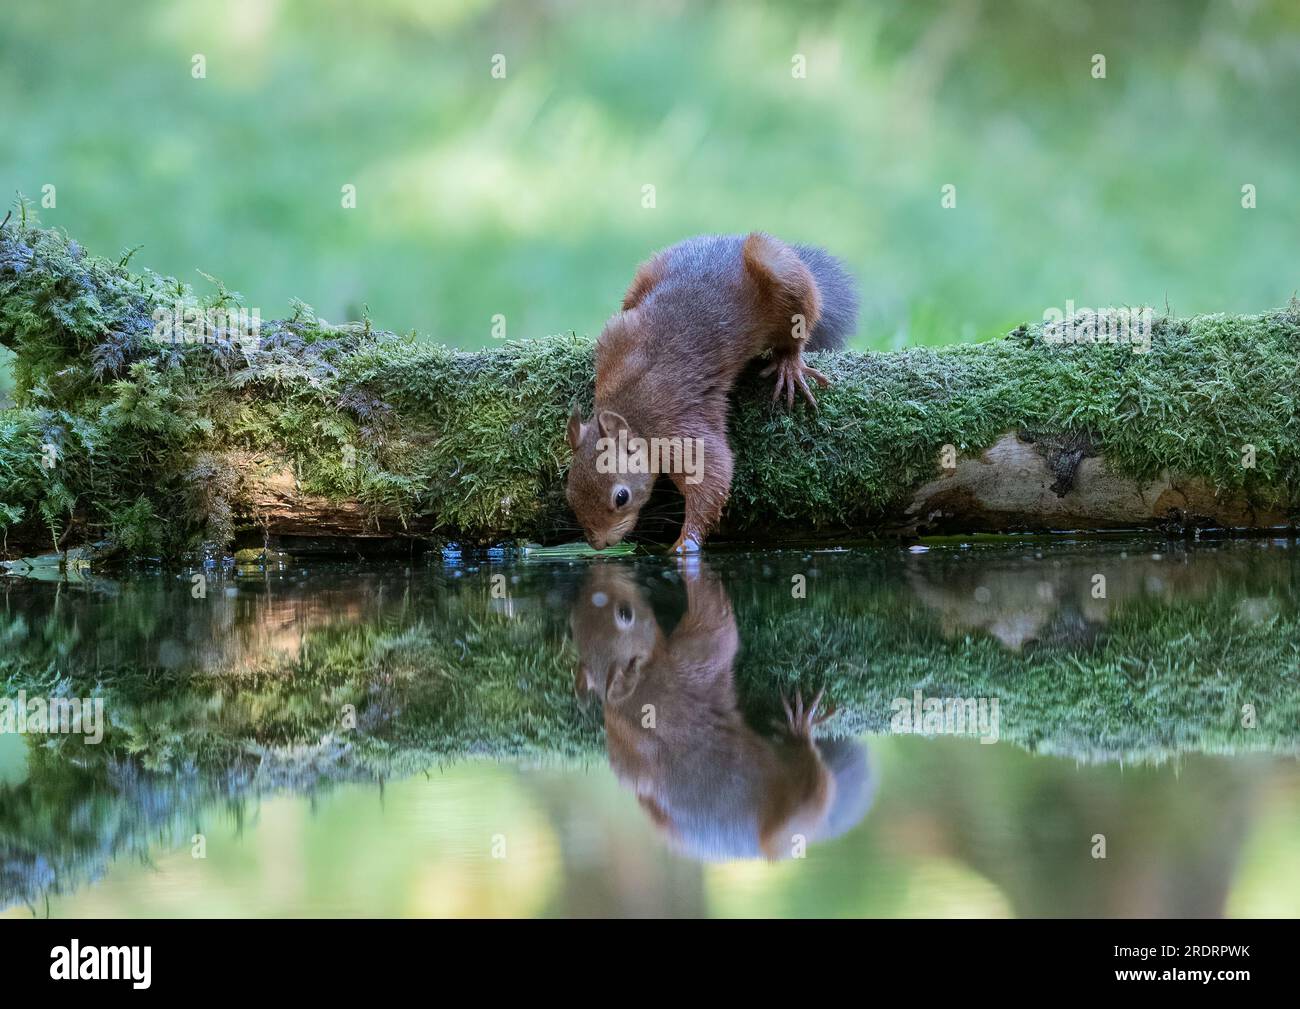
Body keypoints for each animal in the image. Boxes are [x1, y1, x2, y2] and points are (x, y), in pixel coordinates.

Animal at [564, 231, 857, 551]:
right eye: (569, 494)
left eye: (621, 497)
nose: (598, 543)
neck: (628, 402)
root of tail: (733, 239)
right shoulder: (614, 344)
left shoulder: (677, 428)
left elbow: (712, 473)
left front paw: (686, 544)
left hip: (785, 277)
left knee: (795, 334)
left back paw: (789, 365)